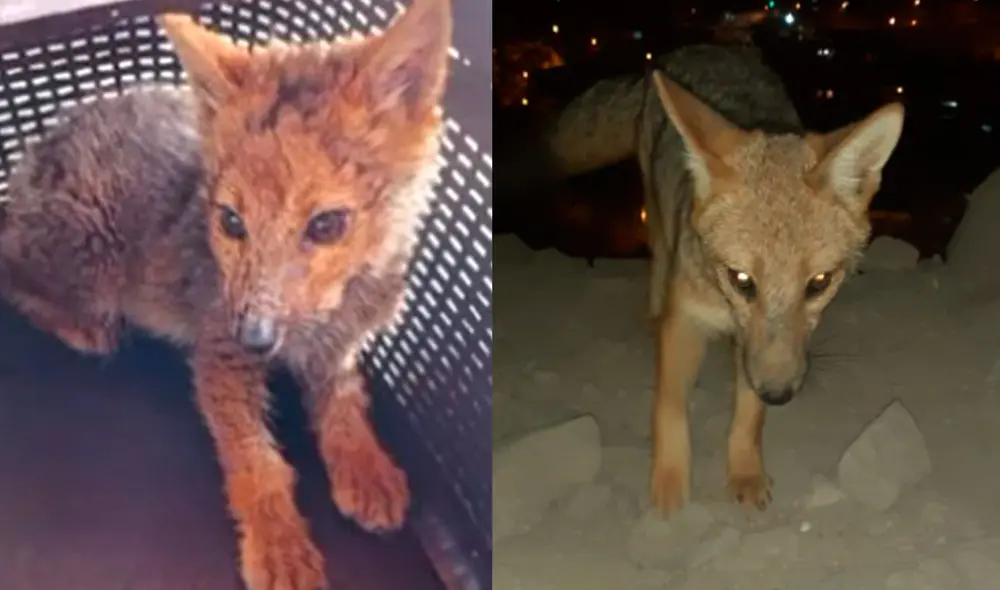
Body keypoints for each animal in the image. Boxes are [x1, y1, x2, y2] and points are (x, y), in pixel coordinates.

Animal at [0, 0, 452, 588]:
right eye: (231, 221)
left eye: (327, 225)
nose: (255, 337)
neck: (331, 314)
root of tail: (36, 150)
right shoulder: (220, 353)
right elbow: (256, 460)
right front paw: (279, 543)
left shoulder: (337, 347)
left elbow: (345, 396)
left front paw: (362, 462)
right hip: (91, 253)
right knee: (11, 267)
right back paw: (83, 327)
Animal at [520, 45, 905, 514]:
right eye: (741, 279)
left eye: (819, 282)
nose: (780, 395)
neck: (722, 304)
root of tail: (706, 47)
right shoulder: (687, 324)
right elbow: (669, 408)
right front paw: (668, 484)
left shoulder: (752, 350)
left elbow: (748, 417)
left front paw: (745, 472)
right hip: (656, 219)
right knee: (658, 263)